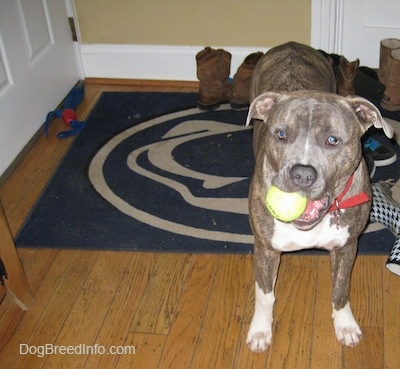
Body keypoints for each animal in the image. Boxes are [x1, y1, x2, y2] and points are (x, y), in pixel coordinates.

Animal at [245, 41, 392, 352]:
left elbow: (341, 289)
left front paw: (345, 325)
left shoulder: (347, 247)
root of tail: (291, 45)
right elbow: (265, 294)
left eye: (332, 140)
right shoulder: (265, 249)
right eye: (281, 134)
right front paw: (261, 331)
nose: (302, 174)